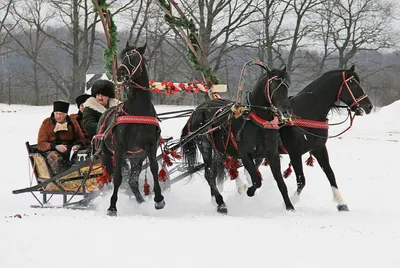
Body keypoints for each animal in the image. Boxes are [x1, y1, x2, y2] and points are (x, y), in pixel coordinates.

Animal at [97, 43, 166, 216]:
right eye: (123, 57)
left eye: (135, 58)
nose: (121, 72)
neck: (138, 111)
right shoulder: (119, 148)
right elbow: (117, 177)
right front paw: (112, 207)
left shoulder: (150, 146)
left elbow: (154, 168)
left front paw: (159, 200)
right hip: (106, 154)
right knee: (111, 175)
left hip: (136, 157)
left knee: (133, 181)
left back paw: (140, 201)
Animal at [181, 65, 294, 214]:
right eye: (274, 86)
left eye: (287, 85)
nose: (287, 111)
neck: (257, 120)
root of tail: (196, 110)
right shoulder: (245, 154)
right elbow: (257, 180)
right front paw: (249, 191)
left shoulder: (272, 154)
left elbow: (281, 183)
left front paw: (289, 207)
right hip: (204, 144)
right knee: (209, 174)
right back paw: (221, 203)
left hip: (220, 151)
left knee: (214, 172)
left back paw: (215, 200)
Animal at [248, 65, 374, 211]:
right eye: (352, 84)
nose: (369, 106)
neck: (307, 113)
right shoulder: (294, 152)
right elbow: (301, 180)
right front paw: (290, 202)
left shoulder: (319, 148)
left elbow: (331, 175)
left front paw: (342, 204)